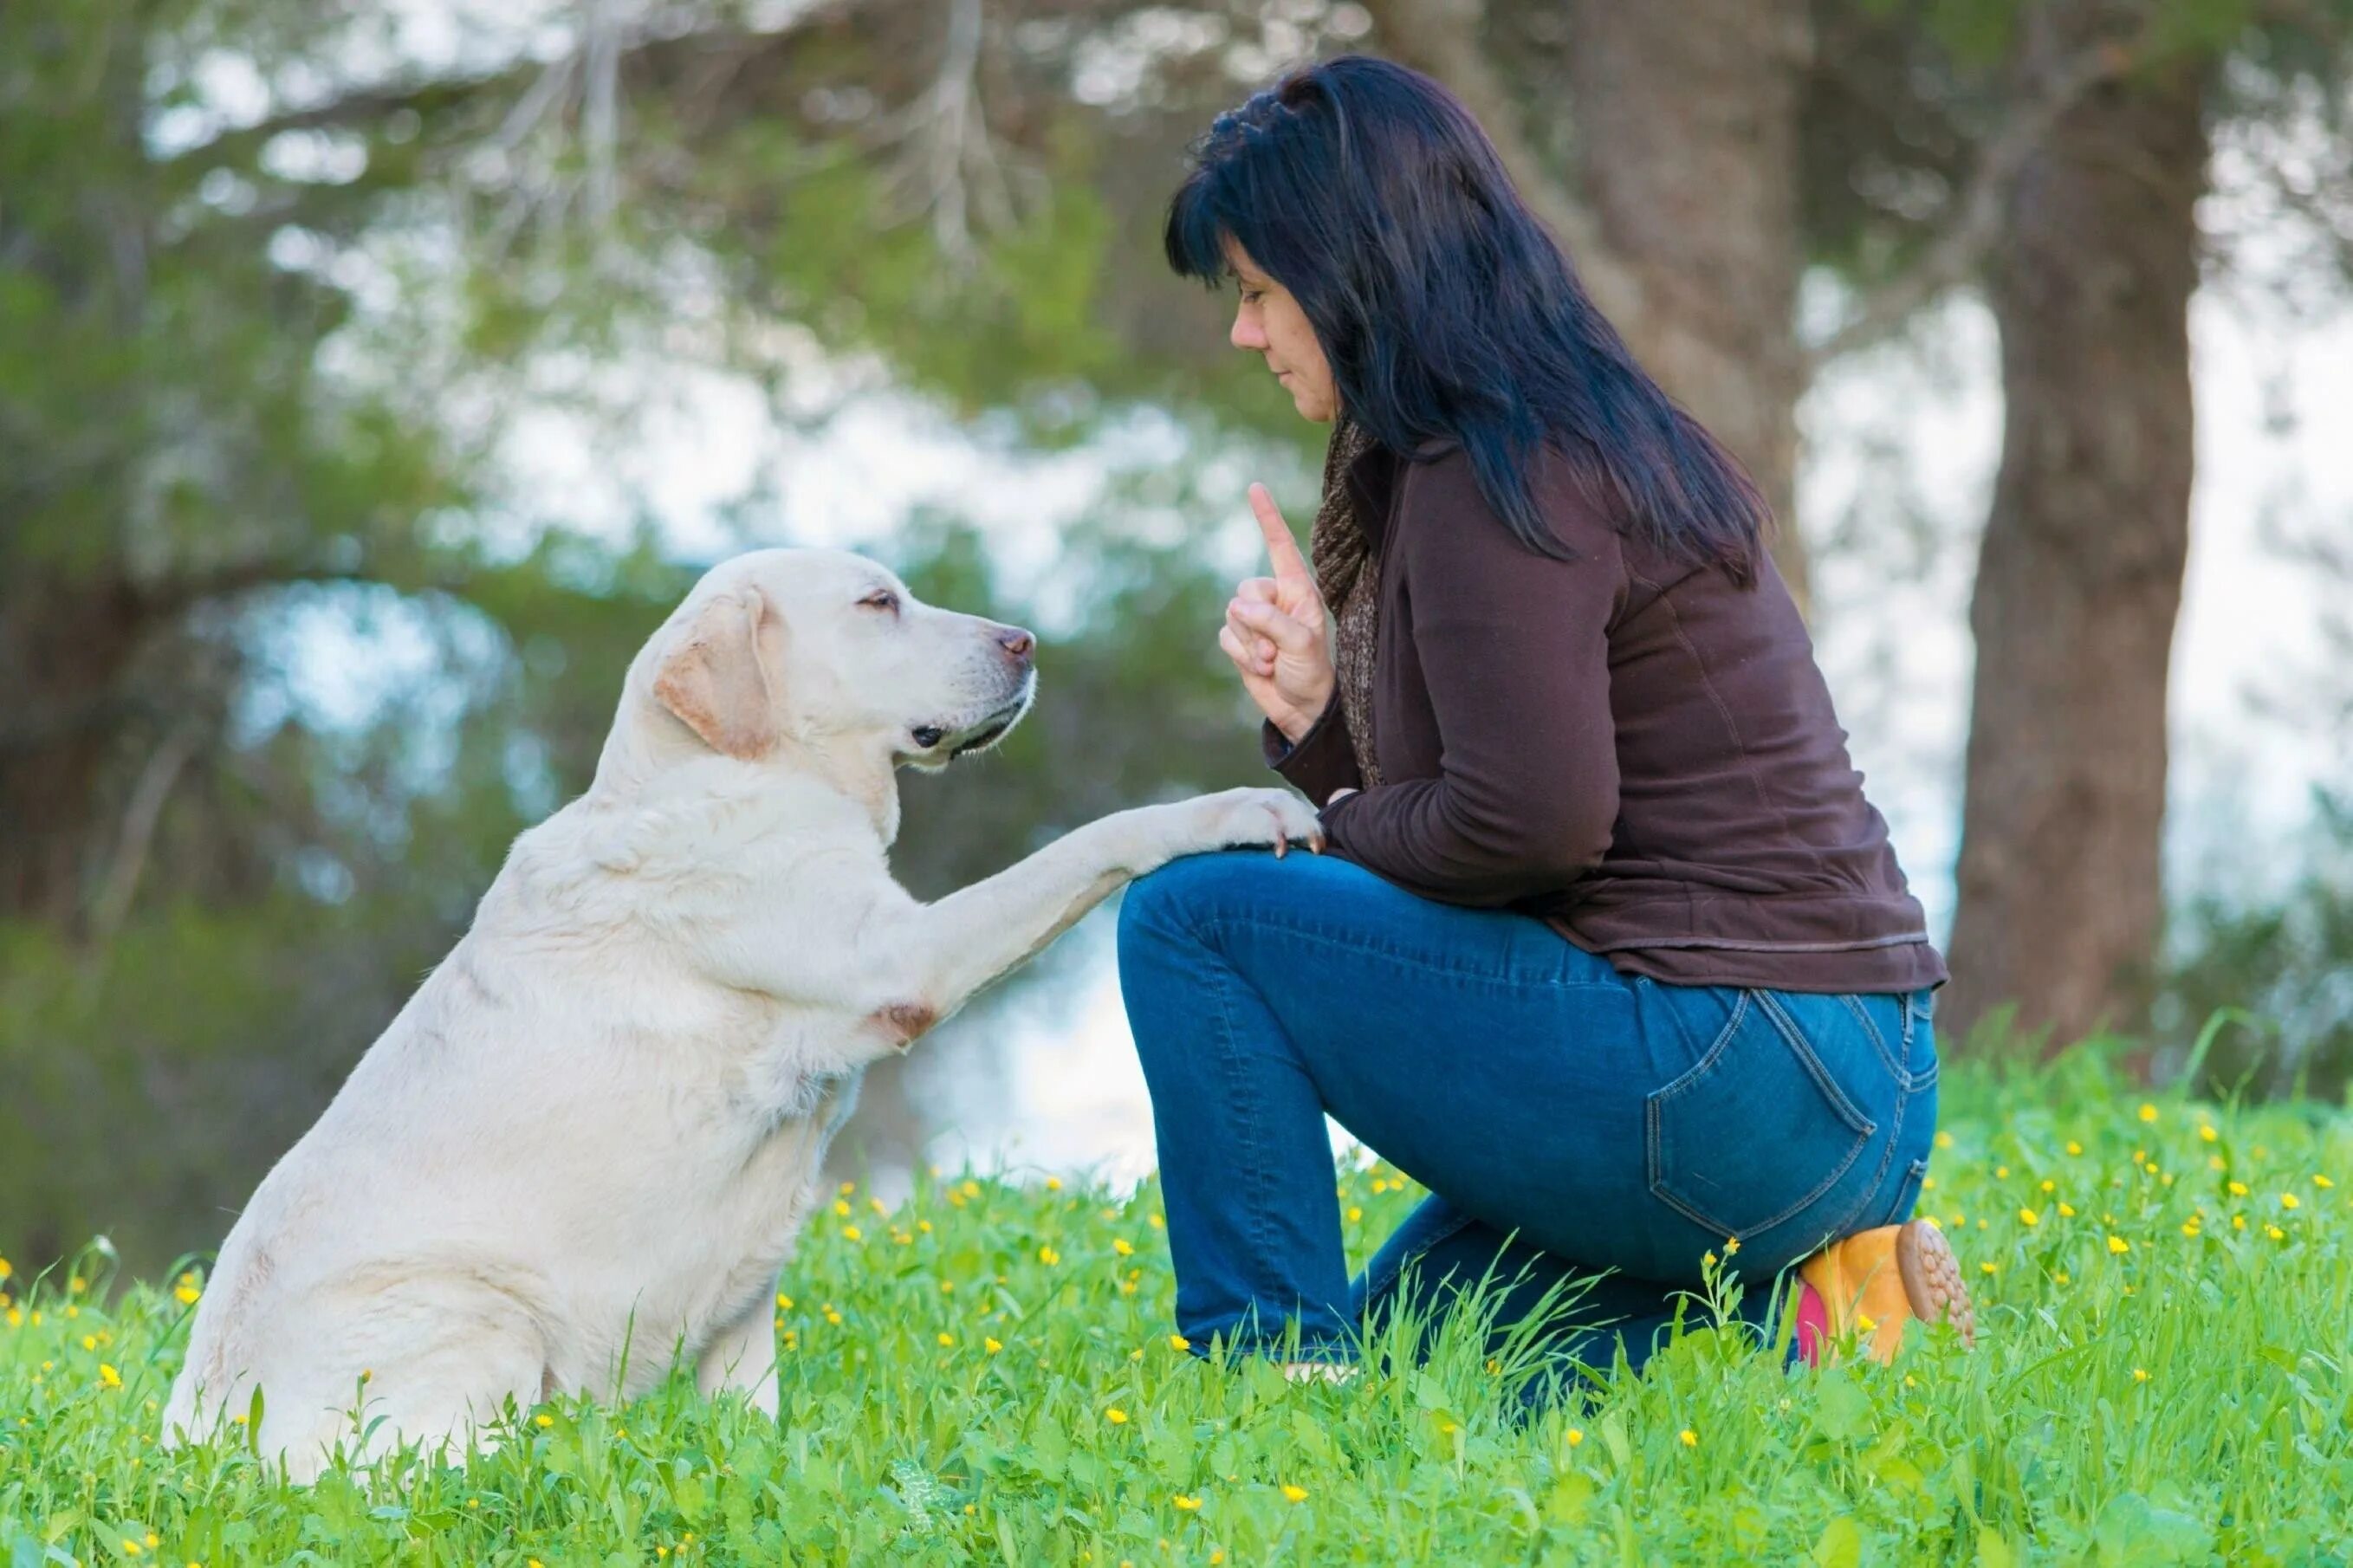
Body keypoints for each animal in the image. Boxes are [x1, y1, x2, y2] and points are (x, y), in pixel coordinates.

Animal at [163, 543, 1326, 1468]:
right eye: (877, 602)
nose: (1026, 641)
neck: (734, 772)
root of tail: (195, 1447)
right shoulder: (901, 955)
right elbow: (1091, 840)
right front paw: (1231, 806)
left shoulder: (745, 1288)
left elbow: (751, 1411)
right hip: (477, 1310)